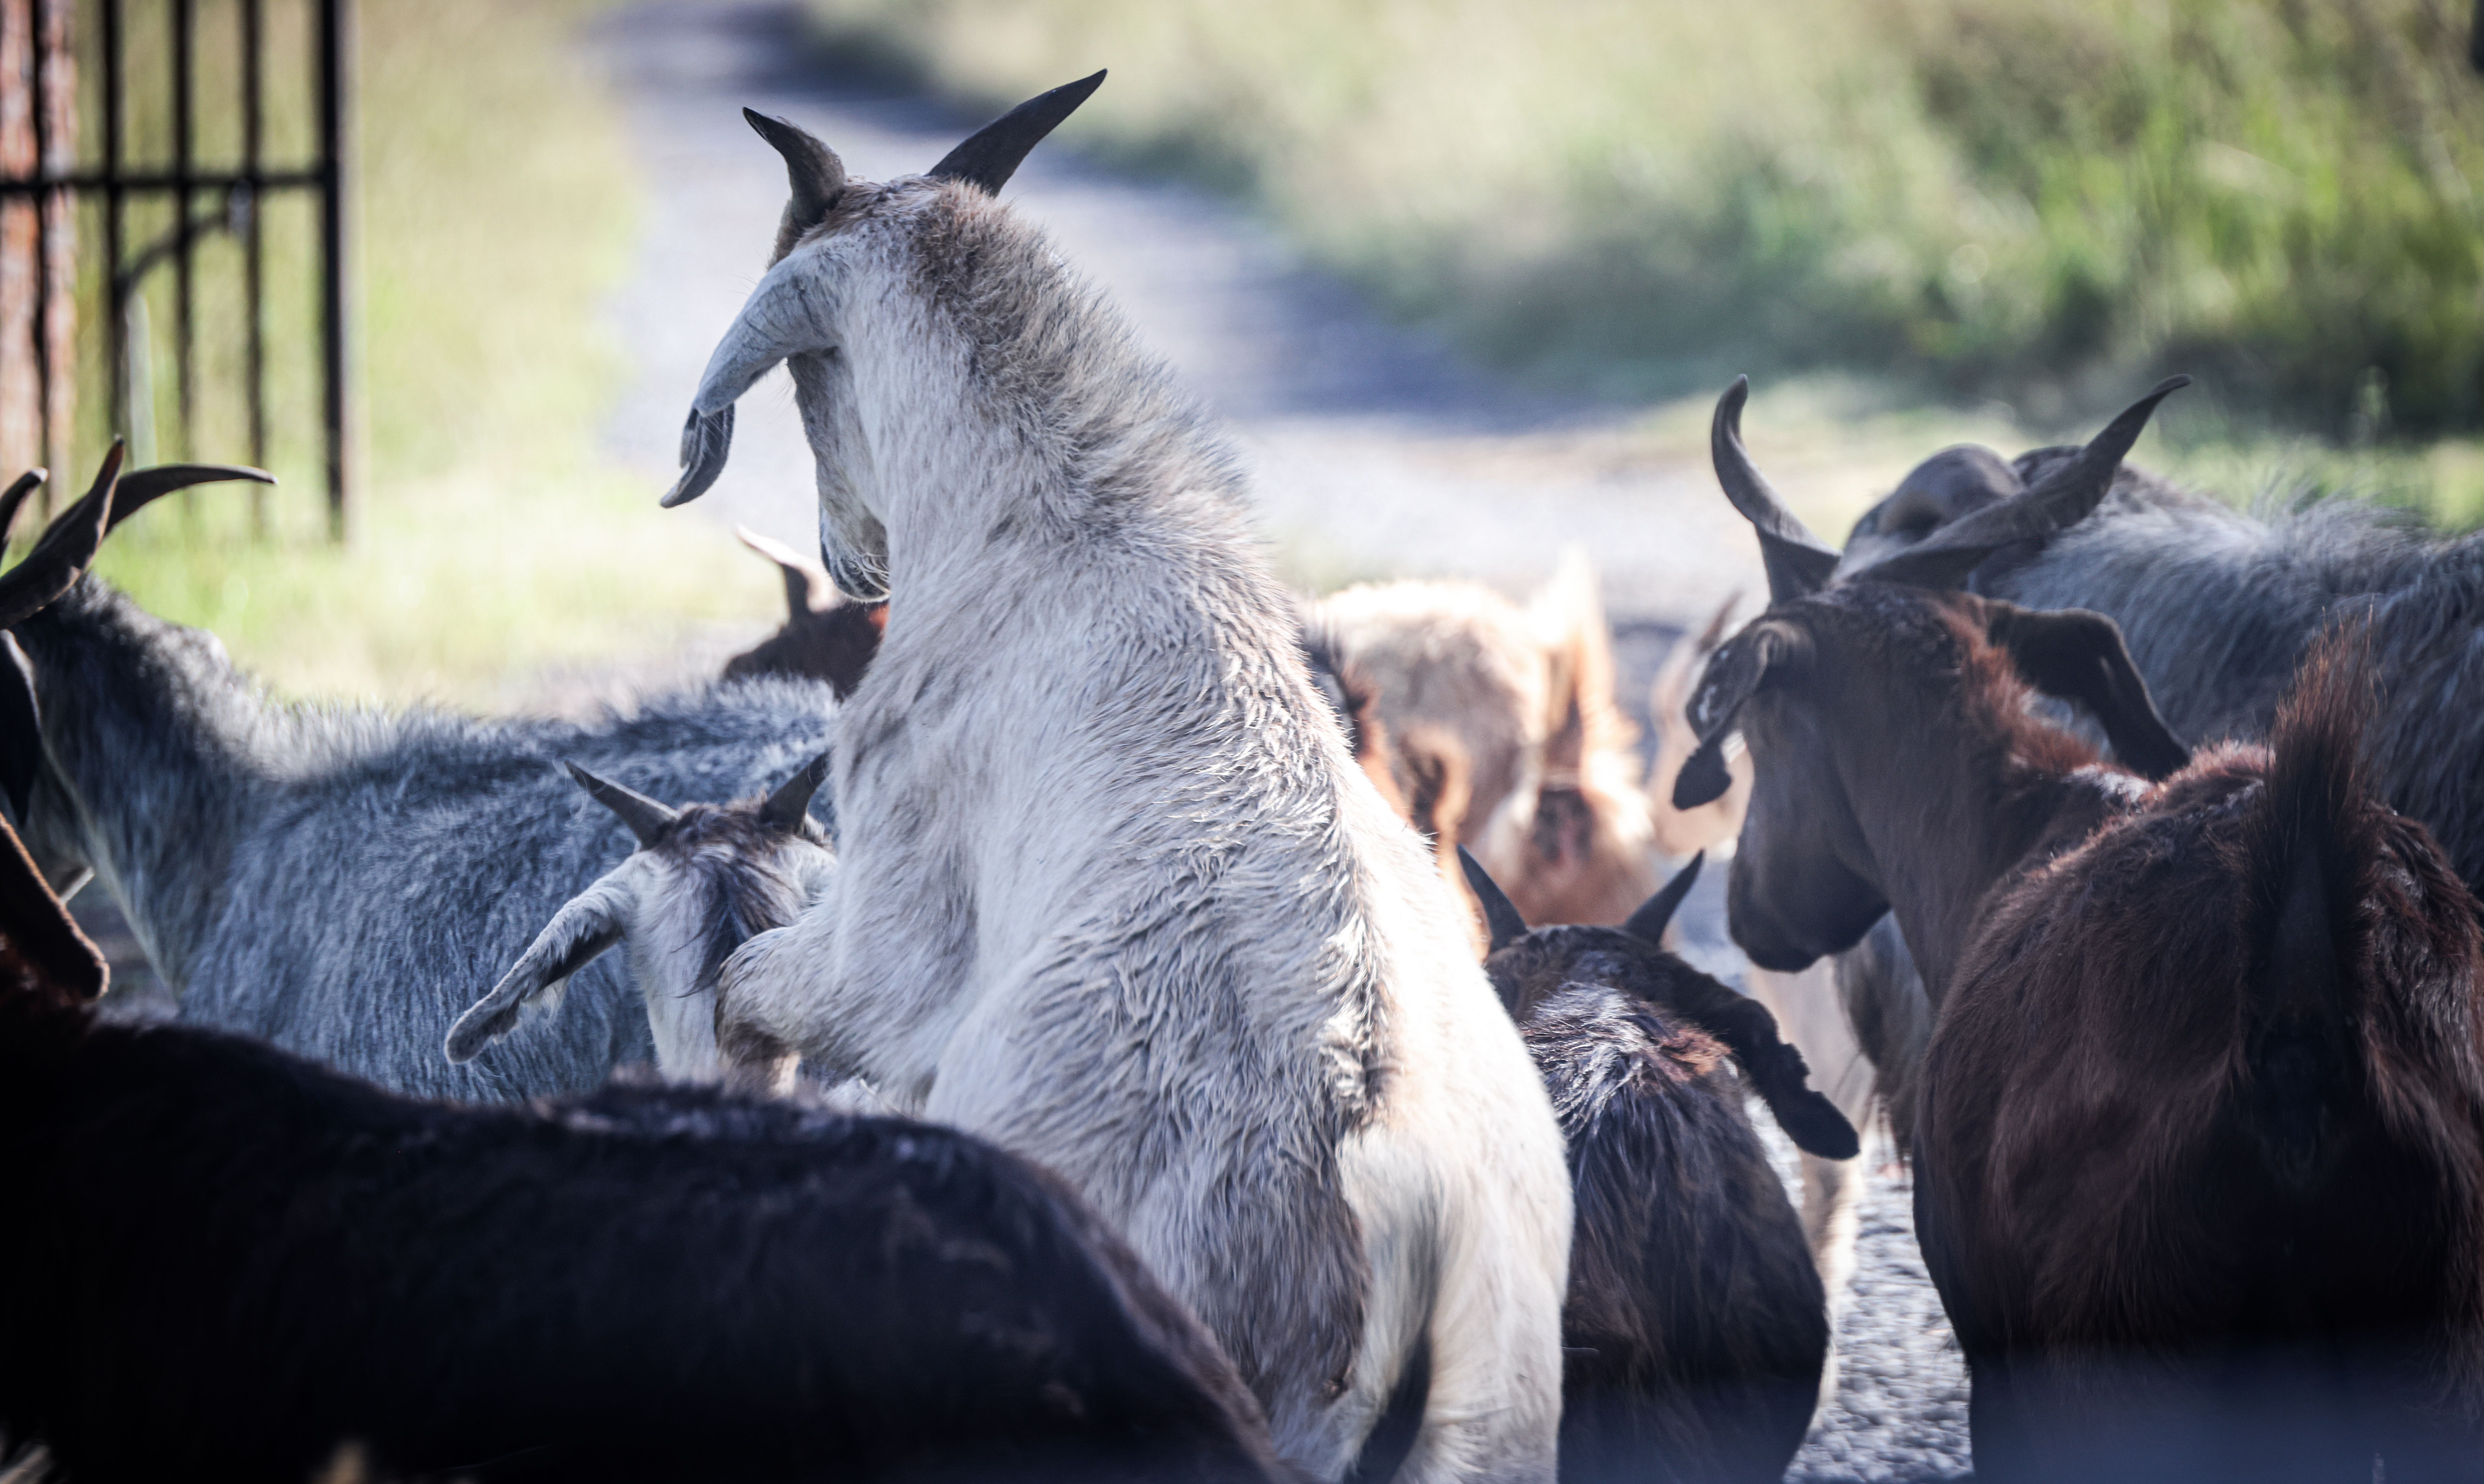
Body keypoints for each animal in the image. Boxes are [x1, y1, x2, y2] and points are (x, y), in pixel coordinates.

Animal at [1685, 375, 2484, 1479]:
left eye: (1759, 734)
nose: (1749, 911)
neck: (2009, 825)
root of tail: (2301, 1024)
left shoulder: (1998, 1341)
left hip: (2131, 1365)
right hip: (2428, 1372)